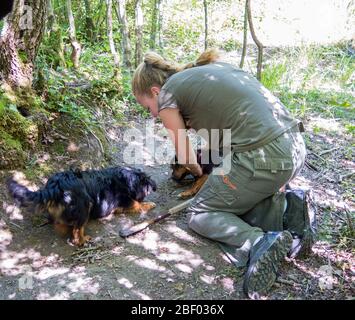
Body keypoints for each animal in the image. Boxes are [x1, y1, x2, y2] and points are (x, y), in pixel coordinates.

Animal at [6, 166, 156, 246]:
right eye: (146, 184)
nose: (153, 187)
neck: (126, 179)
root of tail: (55, 186)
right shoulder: (123, 201)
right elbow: (137, 203)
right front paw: (149, 204)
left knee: (62, 224)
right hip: (85, 203)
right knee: (77, 233)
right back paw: (83, 240)